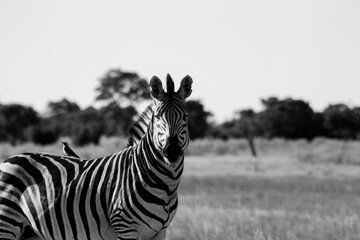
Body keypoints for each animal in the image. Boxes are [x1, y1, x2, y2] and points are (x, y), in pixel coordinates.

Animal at [0, 74, 194, 239]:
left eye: (185, 117)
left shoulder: (159, 232)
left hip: (29, 231)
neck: (165, 185)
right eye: (158, 116)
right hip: (6, 223)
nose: (172, 151)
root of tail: (9, 159)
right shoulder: (125, 228)